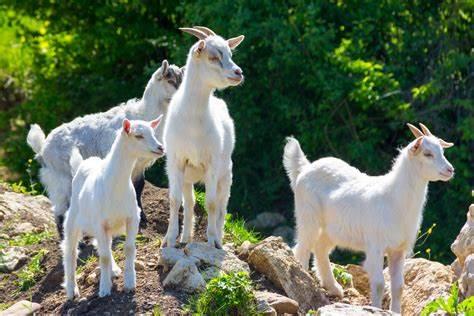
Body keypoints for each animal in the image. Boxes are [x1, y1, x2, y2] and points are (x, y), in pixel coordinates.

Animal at [26, 60, 183, 236]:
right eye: (170, 81)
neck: (143, 114)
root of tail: (42, 149)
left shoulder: (138, 166)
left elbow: (138, 187)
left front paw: (142, 218)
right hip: (59, 177)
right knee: (60, 208)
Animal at [62, 116, 165, 298]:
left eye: (153, 133)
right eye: (138, 136)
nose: (160, 147)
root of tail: (84, 163)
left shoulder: (132, 218)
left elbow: (129, 248)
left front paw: (130, 283)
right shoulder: (99, 223)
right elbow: (103, 257)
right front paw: (104, 289)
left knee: (105, 246)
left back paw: (114, 270)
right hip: (73, 220)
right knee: (71, 252)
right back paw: (71, 290)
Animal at [162, 26, 244, 249]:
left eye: (230, 54)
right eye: (213, 56)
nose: (238, 73)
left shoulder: (212, 162)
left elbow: (212, 203)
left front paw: (213, 240)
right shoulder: (176, 161)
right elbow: (174, 200)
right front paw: (169, 239)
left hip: (226, 174)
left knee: (223, 205)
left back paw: (218, 237)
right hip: (188, 176)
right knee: (189, 202)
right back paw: (185, 238)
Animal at [284, 122, 454, 312]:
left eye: (442, 151)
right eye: (427, 154)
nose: (450, 170)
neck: (393, 199)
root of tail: (305, 168)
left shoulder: (398, 249)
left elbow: (398, 286)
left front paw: (395, 311)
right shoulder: (375, 245)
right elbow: (379, 284)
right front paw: (376, 308)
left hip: (332, 230)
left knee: (320, 248)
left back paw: (334, 288)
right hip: (308, 217)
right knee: (302, 248)